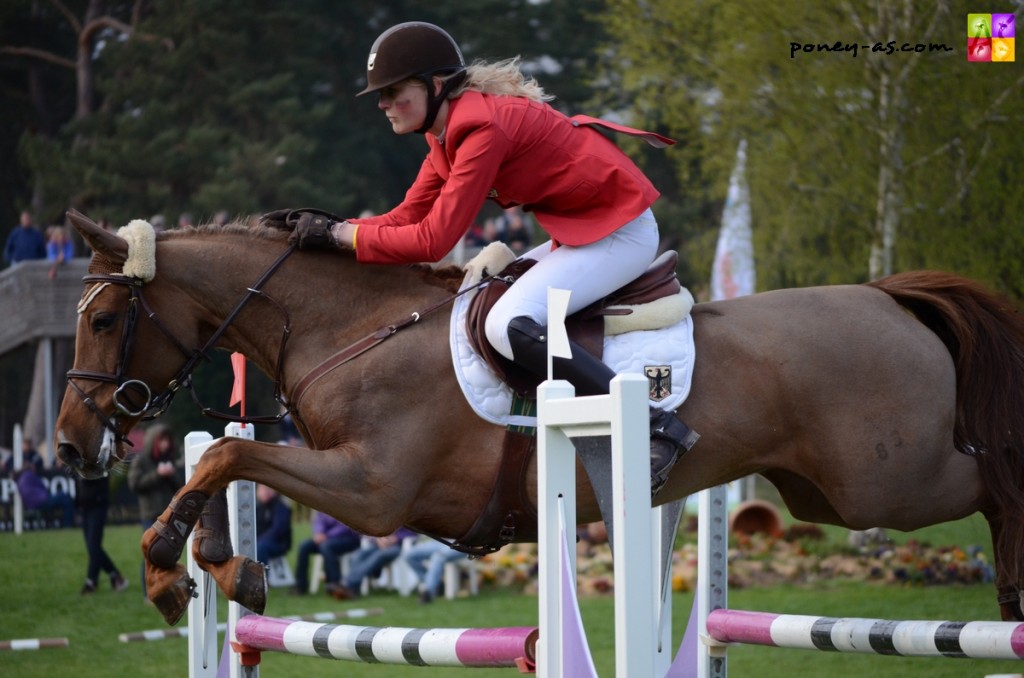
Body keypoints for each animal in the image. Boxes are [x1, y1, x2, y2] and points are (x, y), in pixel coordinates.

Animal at [54, 210, 1024, 626]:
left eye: (103, 321)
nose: (67, 444)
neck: (353, 328)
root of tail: (888, 294)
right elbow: (220, 456)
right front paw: (217, 567)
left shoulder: (374, 492)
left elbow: (225, 460)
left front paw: (165, 569)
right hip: (823, 492)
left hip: (885, 480)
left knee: (996, 479)